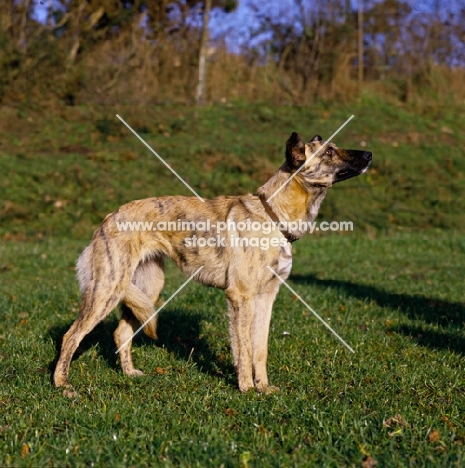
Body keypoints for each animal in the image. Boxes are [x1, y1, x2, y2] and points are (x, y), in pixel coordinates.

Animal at [53, 133, 370, 394]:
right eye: (329, 152)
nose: (369, 155)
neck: (273, 216)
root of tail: (108, 218)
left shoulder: (267, 298)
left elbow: (260, 349)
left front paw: (263, 388)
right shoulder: (241, 298)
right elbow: (244, 349)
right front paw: (246, 389)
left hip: (146, 290)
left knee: (120, 333)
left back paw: (130, 374)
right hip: (107, 291)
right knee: (71, 336)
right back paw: (62, 384)